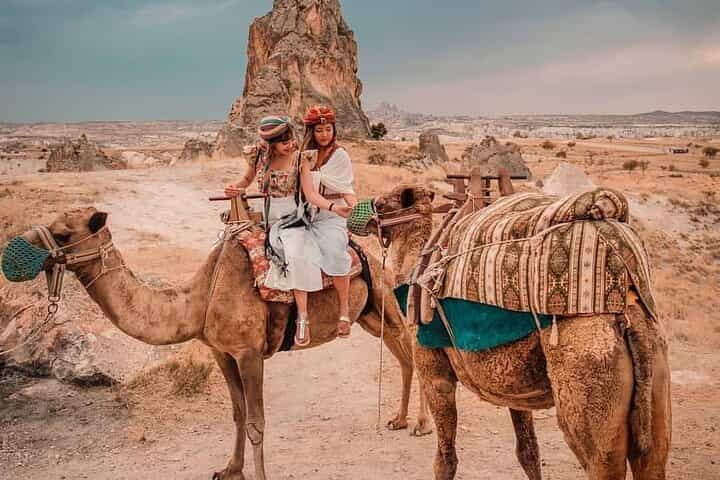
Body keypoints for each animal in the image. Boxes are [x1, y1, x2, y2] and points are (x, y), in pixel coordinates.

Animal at [17, 205, 432, 480]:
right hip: (367, 315)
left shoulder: (249, 353)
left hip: (385, 297)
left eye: (64, 233)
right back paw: (398, 419)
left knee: (413, 348)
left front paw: (257, 476)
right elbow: (237, 412)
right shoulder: (221, 351)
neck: (200, 299)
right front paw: (230, 469)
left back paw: (421, 426)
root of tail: (368, 250)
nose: (22, 248)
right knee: (404, 357)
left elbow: (256, 421)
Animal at [369, 184, 672, 480]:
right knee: (652, 459)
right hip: (653, 369)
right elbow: (528, 452)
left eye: (382, 204)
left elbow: (445, 460)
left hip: (588, 367)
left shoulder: (435, 373)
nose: (366, 218)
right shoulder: (514, 389)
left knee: (601, 459)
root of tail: (629, 304)